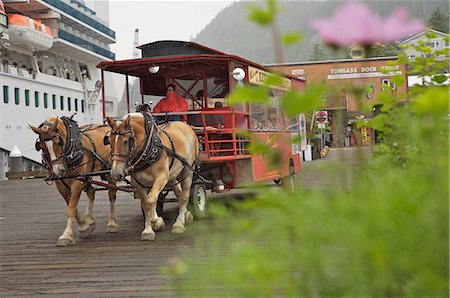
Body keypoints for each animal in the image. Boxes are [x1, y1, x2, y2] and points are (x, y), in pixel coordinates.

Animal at [29, 115, 118, 246]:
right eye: (42, 146)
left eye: (59, 142)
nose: (58, 169)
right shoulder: (61, 185)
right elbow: (73, 207)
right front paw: (84, 226)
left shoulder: (77, 183)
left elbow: (71, 208)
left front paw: (66, 235)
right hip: (86, 176)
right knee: (91, 192)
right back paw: (89, 219)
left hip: (109, 173)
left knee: (112, 195)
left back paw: (112, 223)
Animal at [107, 113, 199, 241]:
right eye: (109, 141)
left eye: (125, 141)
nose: (116, 173)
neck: (148, 148)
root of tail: (185, 125)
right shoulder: (138, 183)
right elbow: (146, 202)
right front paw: (148, 230)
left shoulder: (161, 178)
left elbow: (151, 200)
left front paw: (156, 222)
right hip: (171, 176)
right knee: (179, 193)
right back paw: (186, 214)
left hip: (187, 170)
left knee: (185, 195)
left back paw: (179, 223)